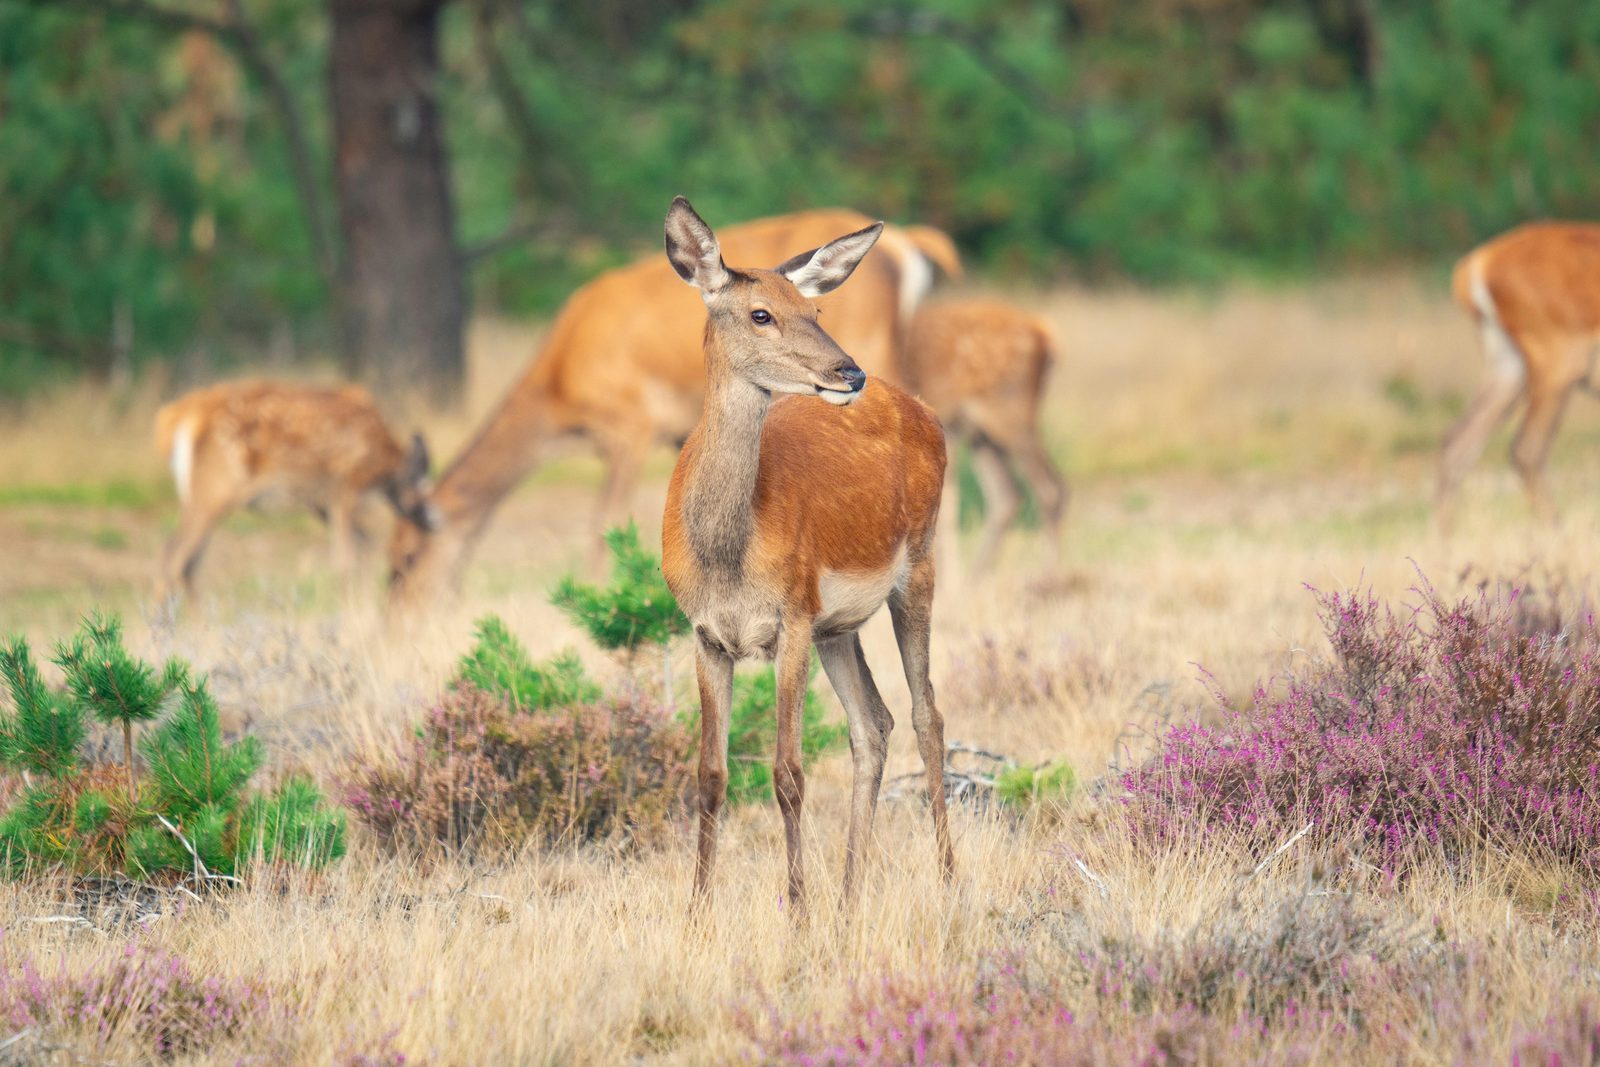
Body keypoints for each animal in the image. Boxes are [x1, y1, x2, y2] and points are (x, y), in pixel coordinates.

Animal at [154, 379, 438, 601]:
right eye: (426, 488)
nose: (436, 519)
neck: (386, 466)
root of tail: (179, 417)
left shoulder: (320, 502)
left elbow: (364, 548)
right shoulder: (344, 488)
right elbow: (345, 560)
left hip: (203, 496)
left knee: (188, 563)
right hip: (215, 490)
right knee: (173, 556)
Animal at [387, 211, 960, 607]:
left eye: (404, 561)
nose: (399, 622)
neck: (560, 390)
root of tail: (906, 247)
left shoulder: (630, 423)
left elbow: (603, 525)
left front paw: (600, 597)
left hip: (879, 348)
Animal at [659, 195, 947, 915]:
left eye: (816, 312)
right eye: (761, 313)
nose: (850, 372)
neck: (727, 557)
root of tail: (924, 409)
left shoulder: (790, 615)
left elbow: (787, 771)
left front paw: (797, 911)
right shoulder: (706, 633)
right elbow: (710, 773)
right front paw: (697, 912)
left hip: (917, 567)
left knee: (927, 712)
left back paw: (948, 880)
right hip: (837, 626)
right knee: (874, 722)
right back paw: (849, 898)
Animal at [908, 292, 1068, 575]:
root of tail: (1045, 334)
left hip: (1010, 414)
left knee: (1050, 488)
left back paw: (1049, 576)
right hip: (982, 435)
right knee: (1008, 494)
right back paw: (976, 574)